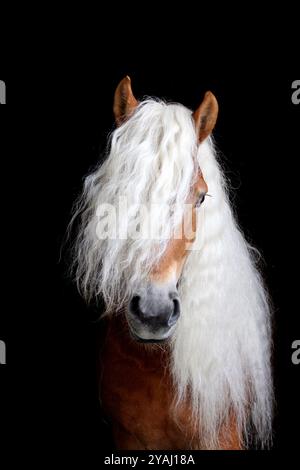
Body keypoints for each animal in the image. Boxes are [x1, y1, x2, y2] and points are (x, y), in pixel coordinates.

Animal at [71, 75, 274, 450]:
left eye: (200, 197)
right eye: (119, 191)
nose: (154, 312)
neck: (153, 367)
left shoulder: (221, 437)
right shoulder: (128, 440)